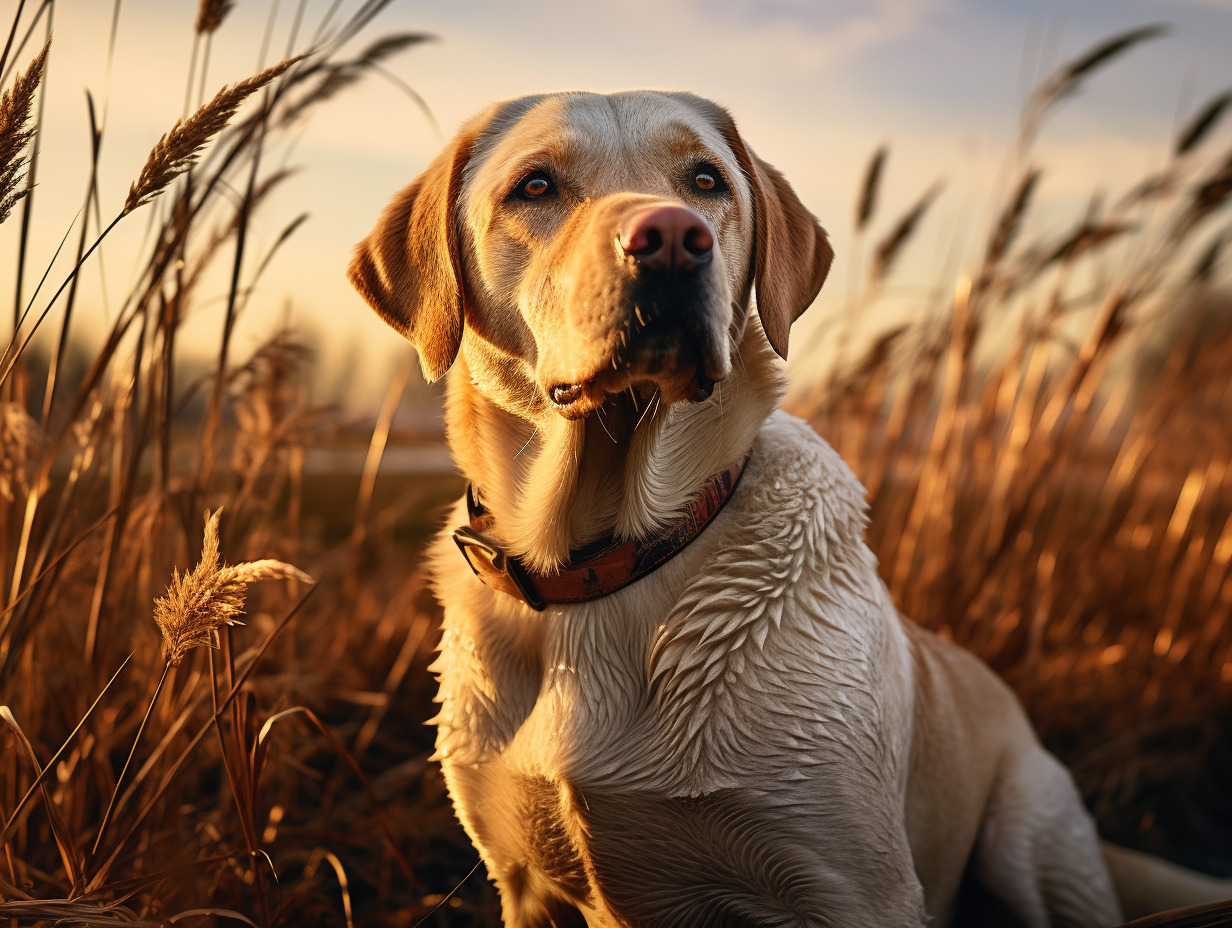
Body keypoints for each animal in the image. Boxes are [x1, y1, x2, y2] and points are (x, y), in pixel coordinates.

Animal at [352, 90, 1227, 921]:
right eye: (535, 187)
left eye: (706, 181)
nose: (672, 236)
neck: (610, 561)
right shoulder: (525, 886)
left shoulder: (852, 889)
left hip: (1025, 833)